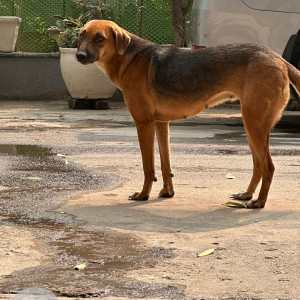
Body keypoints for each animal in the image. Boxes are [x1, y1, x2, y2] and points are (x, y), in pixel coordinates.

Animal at [76, 18, 298, 206]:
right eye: (81, 35)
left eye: (100, 38)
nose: (79, 56)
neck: (130, 58)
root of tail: (279, 60)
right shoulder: (161, 124)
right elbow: (165, 164)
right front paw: (167, 192)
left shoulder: (144, 124)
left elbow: (149, 167)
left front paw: (143, 194)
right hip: (252, 126)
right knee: (258, 165)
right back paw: (247, 194)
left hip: (254, 124)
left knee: (268, 167)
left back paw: (259, 202)